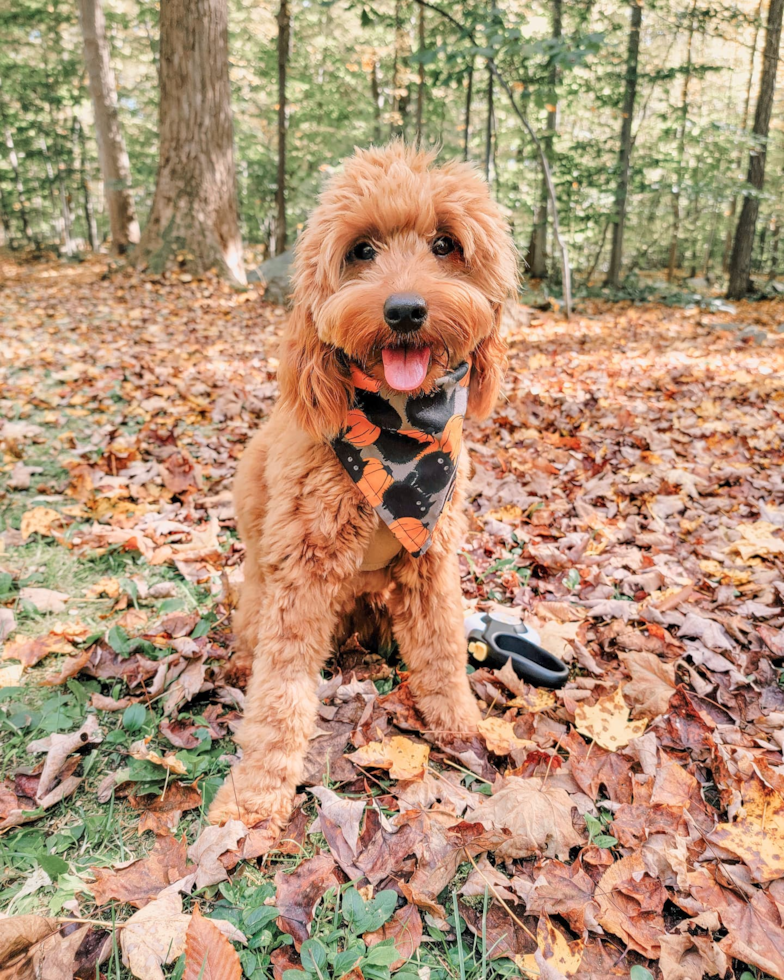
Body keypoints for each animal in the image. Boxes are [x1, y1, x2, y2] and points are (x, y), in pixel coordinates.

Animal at [205, 142, 516, 832]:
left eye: (445, 244)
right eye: (362, 250)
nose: (404, 311)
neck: (396, 442)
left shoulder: (431, 558)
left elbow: (443, 649)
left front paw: (459, 724)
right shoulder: (302, 570)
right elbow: (280, 694)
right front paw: (256, 794)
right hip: (260, 591)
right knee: (251, 640)